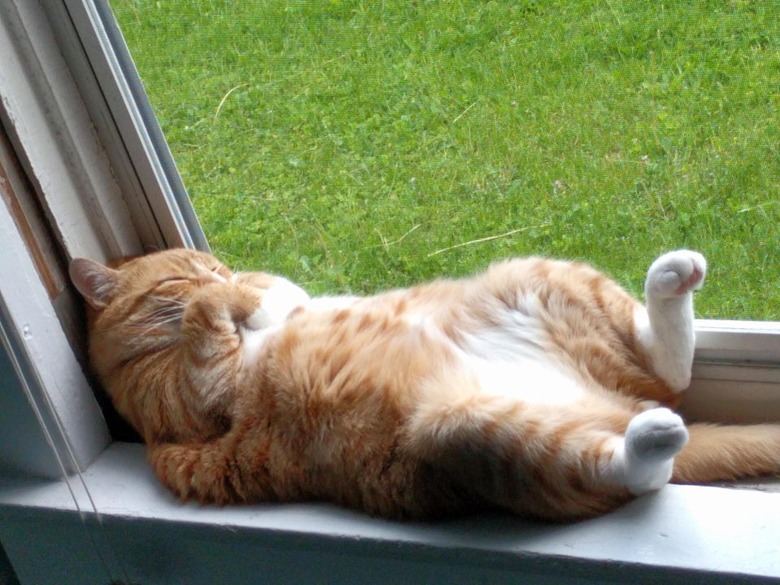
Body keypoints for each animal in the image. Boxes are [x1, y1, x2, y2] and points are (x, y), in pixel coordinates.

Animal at [68, 249, 780, 516]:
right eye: (184, 271)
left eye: (212, 260)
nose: (222, 272)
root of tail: (617, 404)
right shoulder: (196, 397)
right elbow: (205, 321)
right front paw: (226, 303)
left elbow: (279, 296)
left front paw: (256, 296)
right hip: (472, 432)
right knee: (641, 465)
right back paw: (652, 435)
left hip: (533, 277)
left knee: (668, 367)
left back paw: (671, 279)